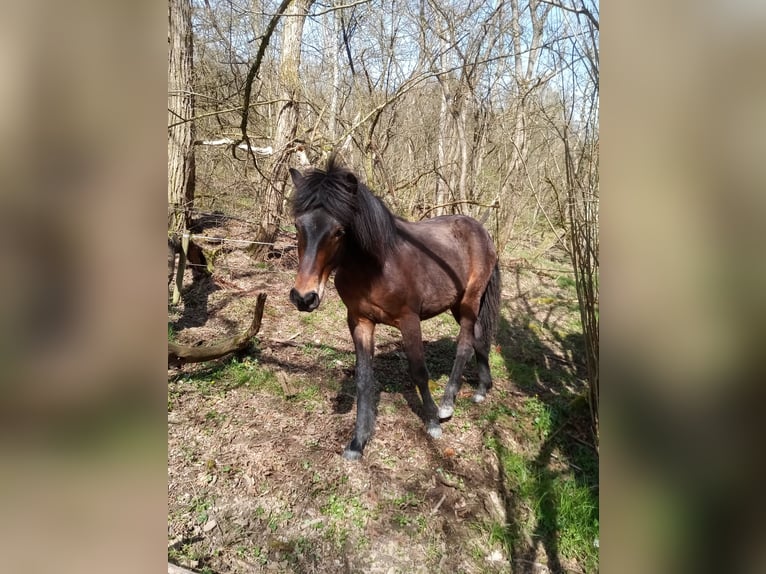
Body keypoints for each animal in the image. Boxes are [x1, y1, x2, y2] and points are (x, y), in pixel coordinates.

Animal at [290, 155, 504, 462]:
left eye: (339, 231)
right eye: (298, 226)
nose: (304, 297)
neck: (376, 267)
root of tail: (482, 232)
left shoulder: (409, 320)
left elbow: (419, 372)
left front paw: (432, 423)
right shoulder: (360, 321)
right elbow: (364, 378)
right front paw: (357, 442)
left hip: (469, 301)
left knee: (464, 344)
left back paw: (447, 404)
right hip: (456, 303)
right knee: (478, 337)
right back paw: (482, 389)